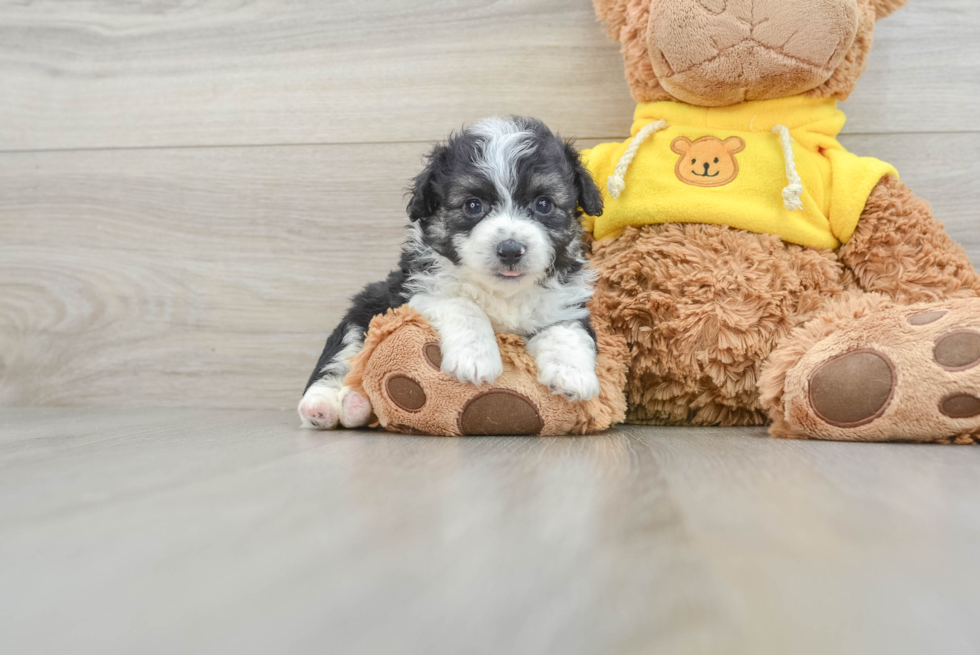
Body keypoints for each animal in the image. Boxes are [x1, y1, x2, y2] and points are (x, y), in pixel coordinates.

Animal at [298, 116, 604, 430]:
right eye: (473, 205)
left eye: (543, 204)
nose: (510, 250)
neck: (502, 293)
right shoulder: (417, 291)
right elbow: (463, 304)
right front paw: (475, 358)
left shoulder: (566, 302)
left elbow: (565, 331)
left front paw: (572, 374)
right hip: (362, 313)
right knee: (338, 361)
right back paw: (323, 407)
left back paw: (356, 406)